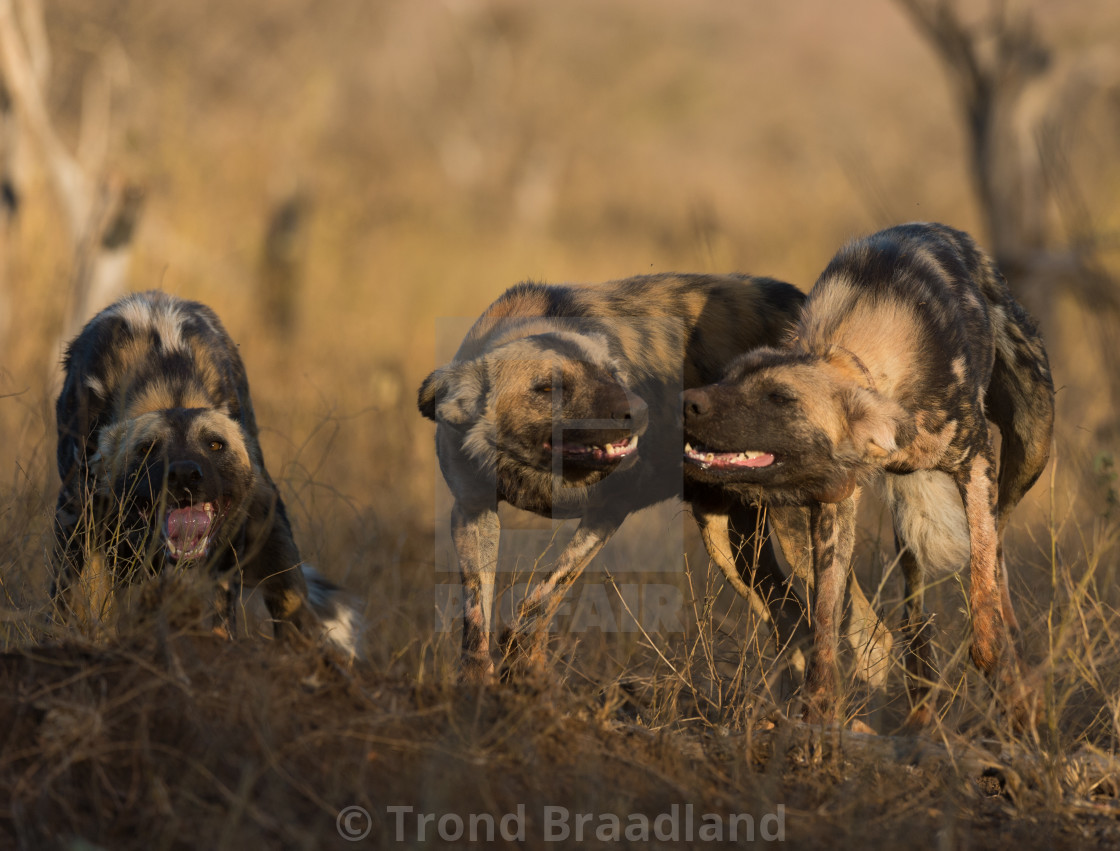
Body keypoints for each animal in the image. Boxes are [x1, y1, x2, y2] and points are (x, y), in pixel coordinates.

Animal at [52, 288, 358, 653]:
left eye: (215, 445)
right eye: (147, 449)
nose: (184, 474)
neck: (171, 388)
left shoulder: (227, 550)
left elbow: (222, 614)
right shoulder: (74, 517)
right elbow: (67, 601)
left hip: (269, 522)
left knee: (291, 601)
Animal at [418, 272, 891, 685]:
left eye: (611, 373)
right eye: (547, 388)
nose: (638, 410)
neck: (533, 464)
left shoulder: (610, 510)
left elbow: (541, 599)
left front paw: (526, 674)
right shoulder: (473, 512)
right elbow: (476, 615)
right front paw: (481, 686)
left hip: (802, 540)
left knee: (869, 634)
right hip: (730, 545)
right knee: (792, 623)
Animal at [676, 220, 1052, 725]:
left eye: (780, 398)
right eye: (728, 377)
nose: (689, 402)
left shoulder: (975, 464)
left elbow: (982, 571)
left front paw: (994, 656)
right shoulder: (833, 507)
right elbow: (826, 620)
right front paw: (820, 710)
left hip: (1029, 447)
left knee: (998, 551)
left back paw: (1014, 674)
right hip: (907, 538)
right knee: (914, 611)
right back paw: (923, 696)